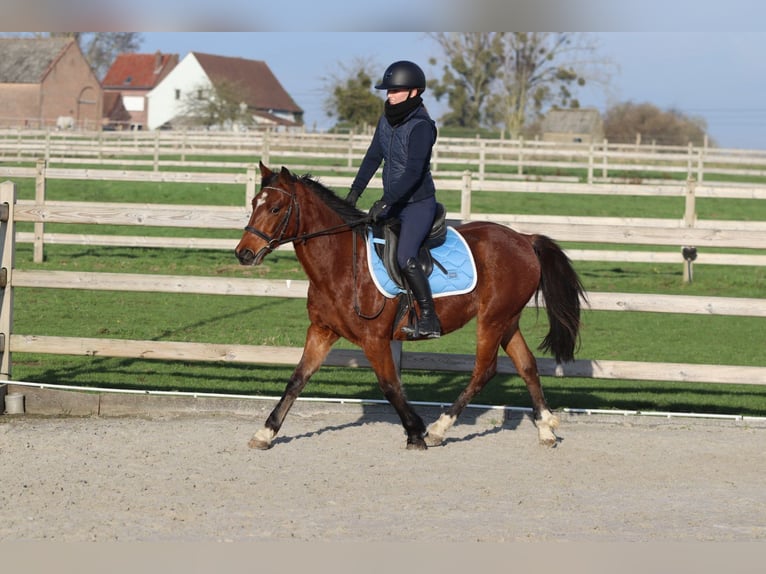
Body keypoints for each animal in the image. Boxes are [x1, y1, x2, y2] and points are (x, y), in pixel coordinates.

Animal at [235, 162, 587, 450]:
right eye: (253, 204)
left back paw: (439, 429)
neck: (341, 263)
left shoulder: (374, 339)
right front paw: (266, 432)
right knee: (526, 365)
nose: (244, 253)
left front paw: (416, 431)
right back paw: (546, 429)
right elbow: (297, 378)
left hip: (491, 320)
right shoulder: (321, 331)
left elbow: (391, 386)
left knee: (484, 371)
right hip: (507, 319)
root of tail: (524, 239)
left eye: (276, 208)